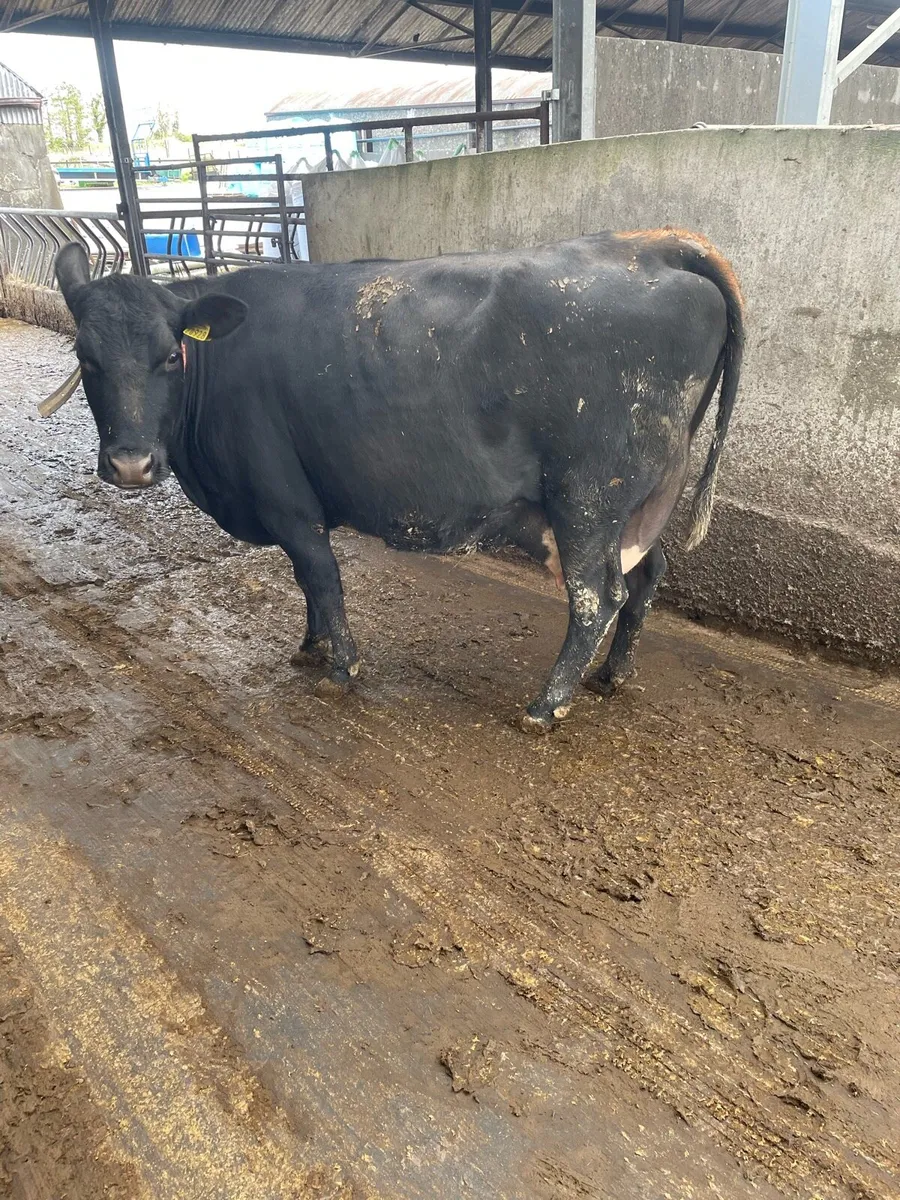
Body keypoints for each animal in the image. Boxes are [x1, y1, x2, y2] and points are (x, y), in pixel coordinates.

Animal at [52, 229, 743, 731]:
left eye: (170, 356)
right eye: (86, 357)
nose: (131, 464)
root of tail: (646, 245)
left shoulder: (287, 502)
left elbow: (321, 577)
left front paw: (340, 668)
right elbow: (307, 583)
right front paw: (311, 646)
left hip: (588, 498)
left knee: (598, 596)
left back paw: (546, 705)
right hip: (639, 501)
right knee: (645, 577)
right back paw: (612, 676)